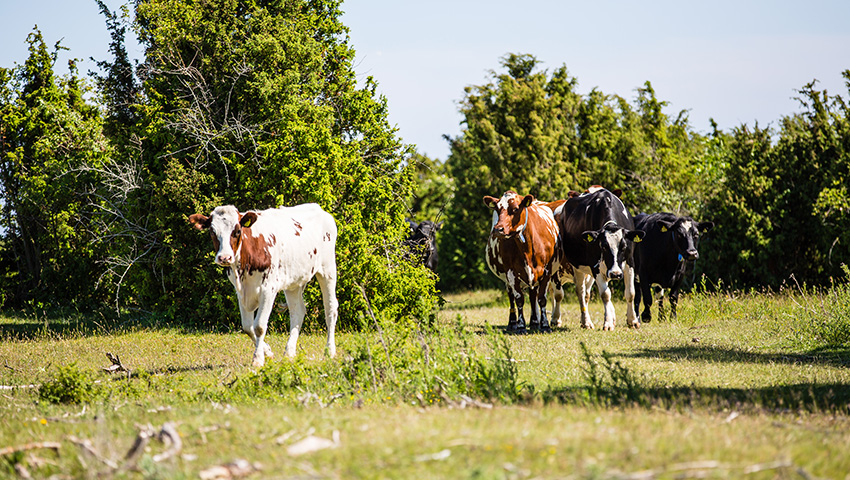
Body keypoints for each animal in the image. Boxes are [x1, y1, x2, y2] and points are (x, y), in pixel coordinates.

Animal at [189, 204, 338, 366]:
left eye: (237, 231)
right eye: (212, 232)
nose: (224, 257)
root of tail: (317, 208)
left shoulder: (268, 290)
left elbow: (259, 326)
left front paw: (258, 359)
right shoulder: (240, 292)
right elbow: (247, 327)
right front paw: (268, 351)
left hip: (328, 270)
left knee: (330, 310)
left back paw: (330, 351)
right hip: (293, 281)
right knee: (297, 311)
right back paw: (289, 353)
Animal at [484, 191, 564, 334]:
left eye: (515, 209)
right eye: (497, 209)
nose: (498, 229)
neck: (527, 247)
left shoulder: (547, 271)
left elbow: (541, 299)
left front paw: (544, 325)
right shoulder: (511, 273)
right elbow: (519, 299)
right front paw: (521, 326)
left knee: (533, 296)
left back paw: (534, 322)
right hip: (507, 278)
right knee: (511, 296)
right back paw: (512, 323)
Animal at [556, 188, 644, 330]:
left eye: (624, 246)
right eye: (603, 246)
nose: (615, 274)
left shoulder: (629, 262)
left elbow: (630, 293)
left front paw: (632, 320)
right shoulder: (594, 266)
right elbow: (605, 294)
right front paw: (607, 323)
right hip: (577, 266)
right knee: (581, 293)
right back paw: (586, 322)